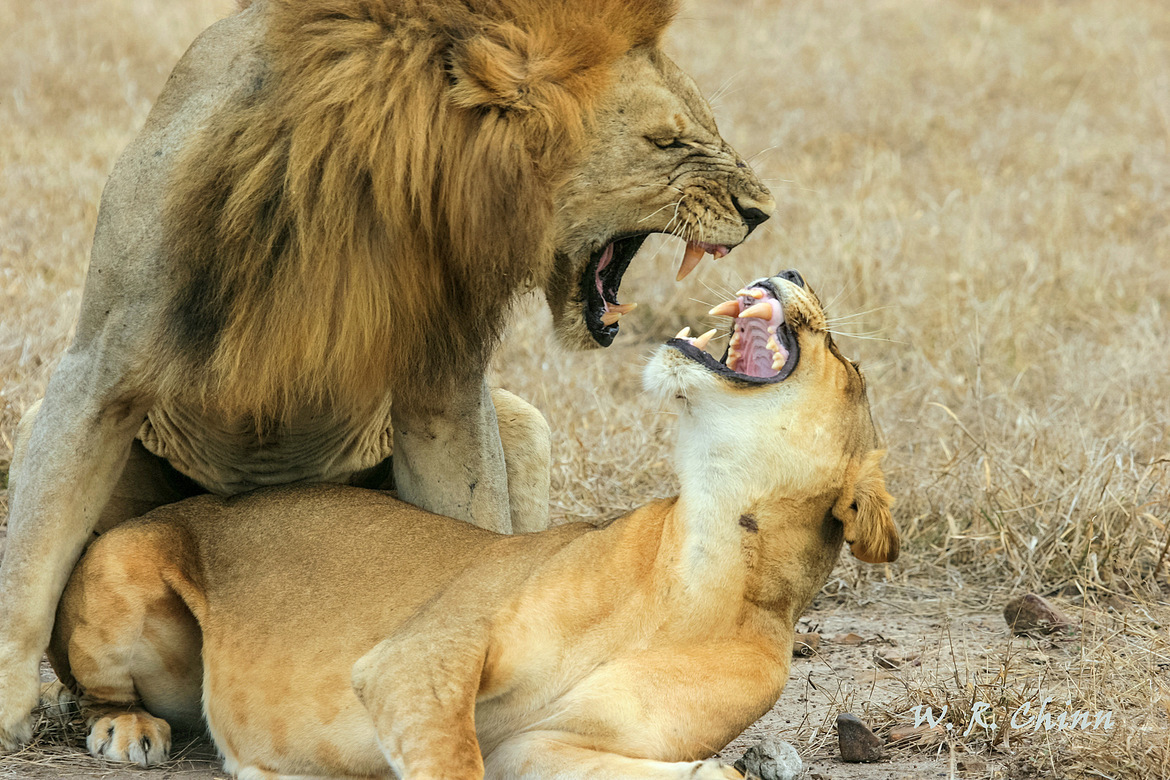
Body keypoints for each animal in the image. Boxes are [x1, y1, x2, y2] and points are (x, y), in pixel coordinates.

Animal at [0, 0, 776, 747]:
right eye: (666, 142)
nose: (762, 212)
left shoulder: (445, 378)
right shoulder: (101, 367)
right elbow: (31, 560)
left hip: (524, 426)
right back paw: (115, 718)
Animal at [42, 271, 898, 778]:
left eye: (847, 362)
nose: (794, 273)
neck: (706, 565)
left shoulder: (544, 747)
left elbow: (684, 771)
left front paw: (746, 766)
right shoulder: (417, 659)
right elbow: (451, 757)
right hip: (120, 577)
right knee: (88, 684)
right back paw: (127, 731)